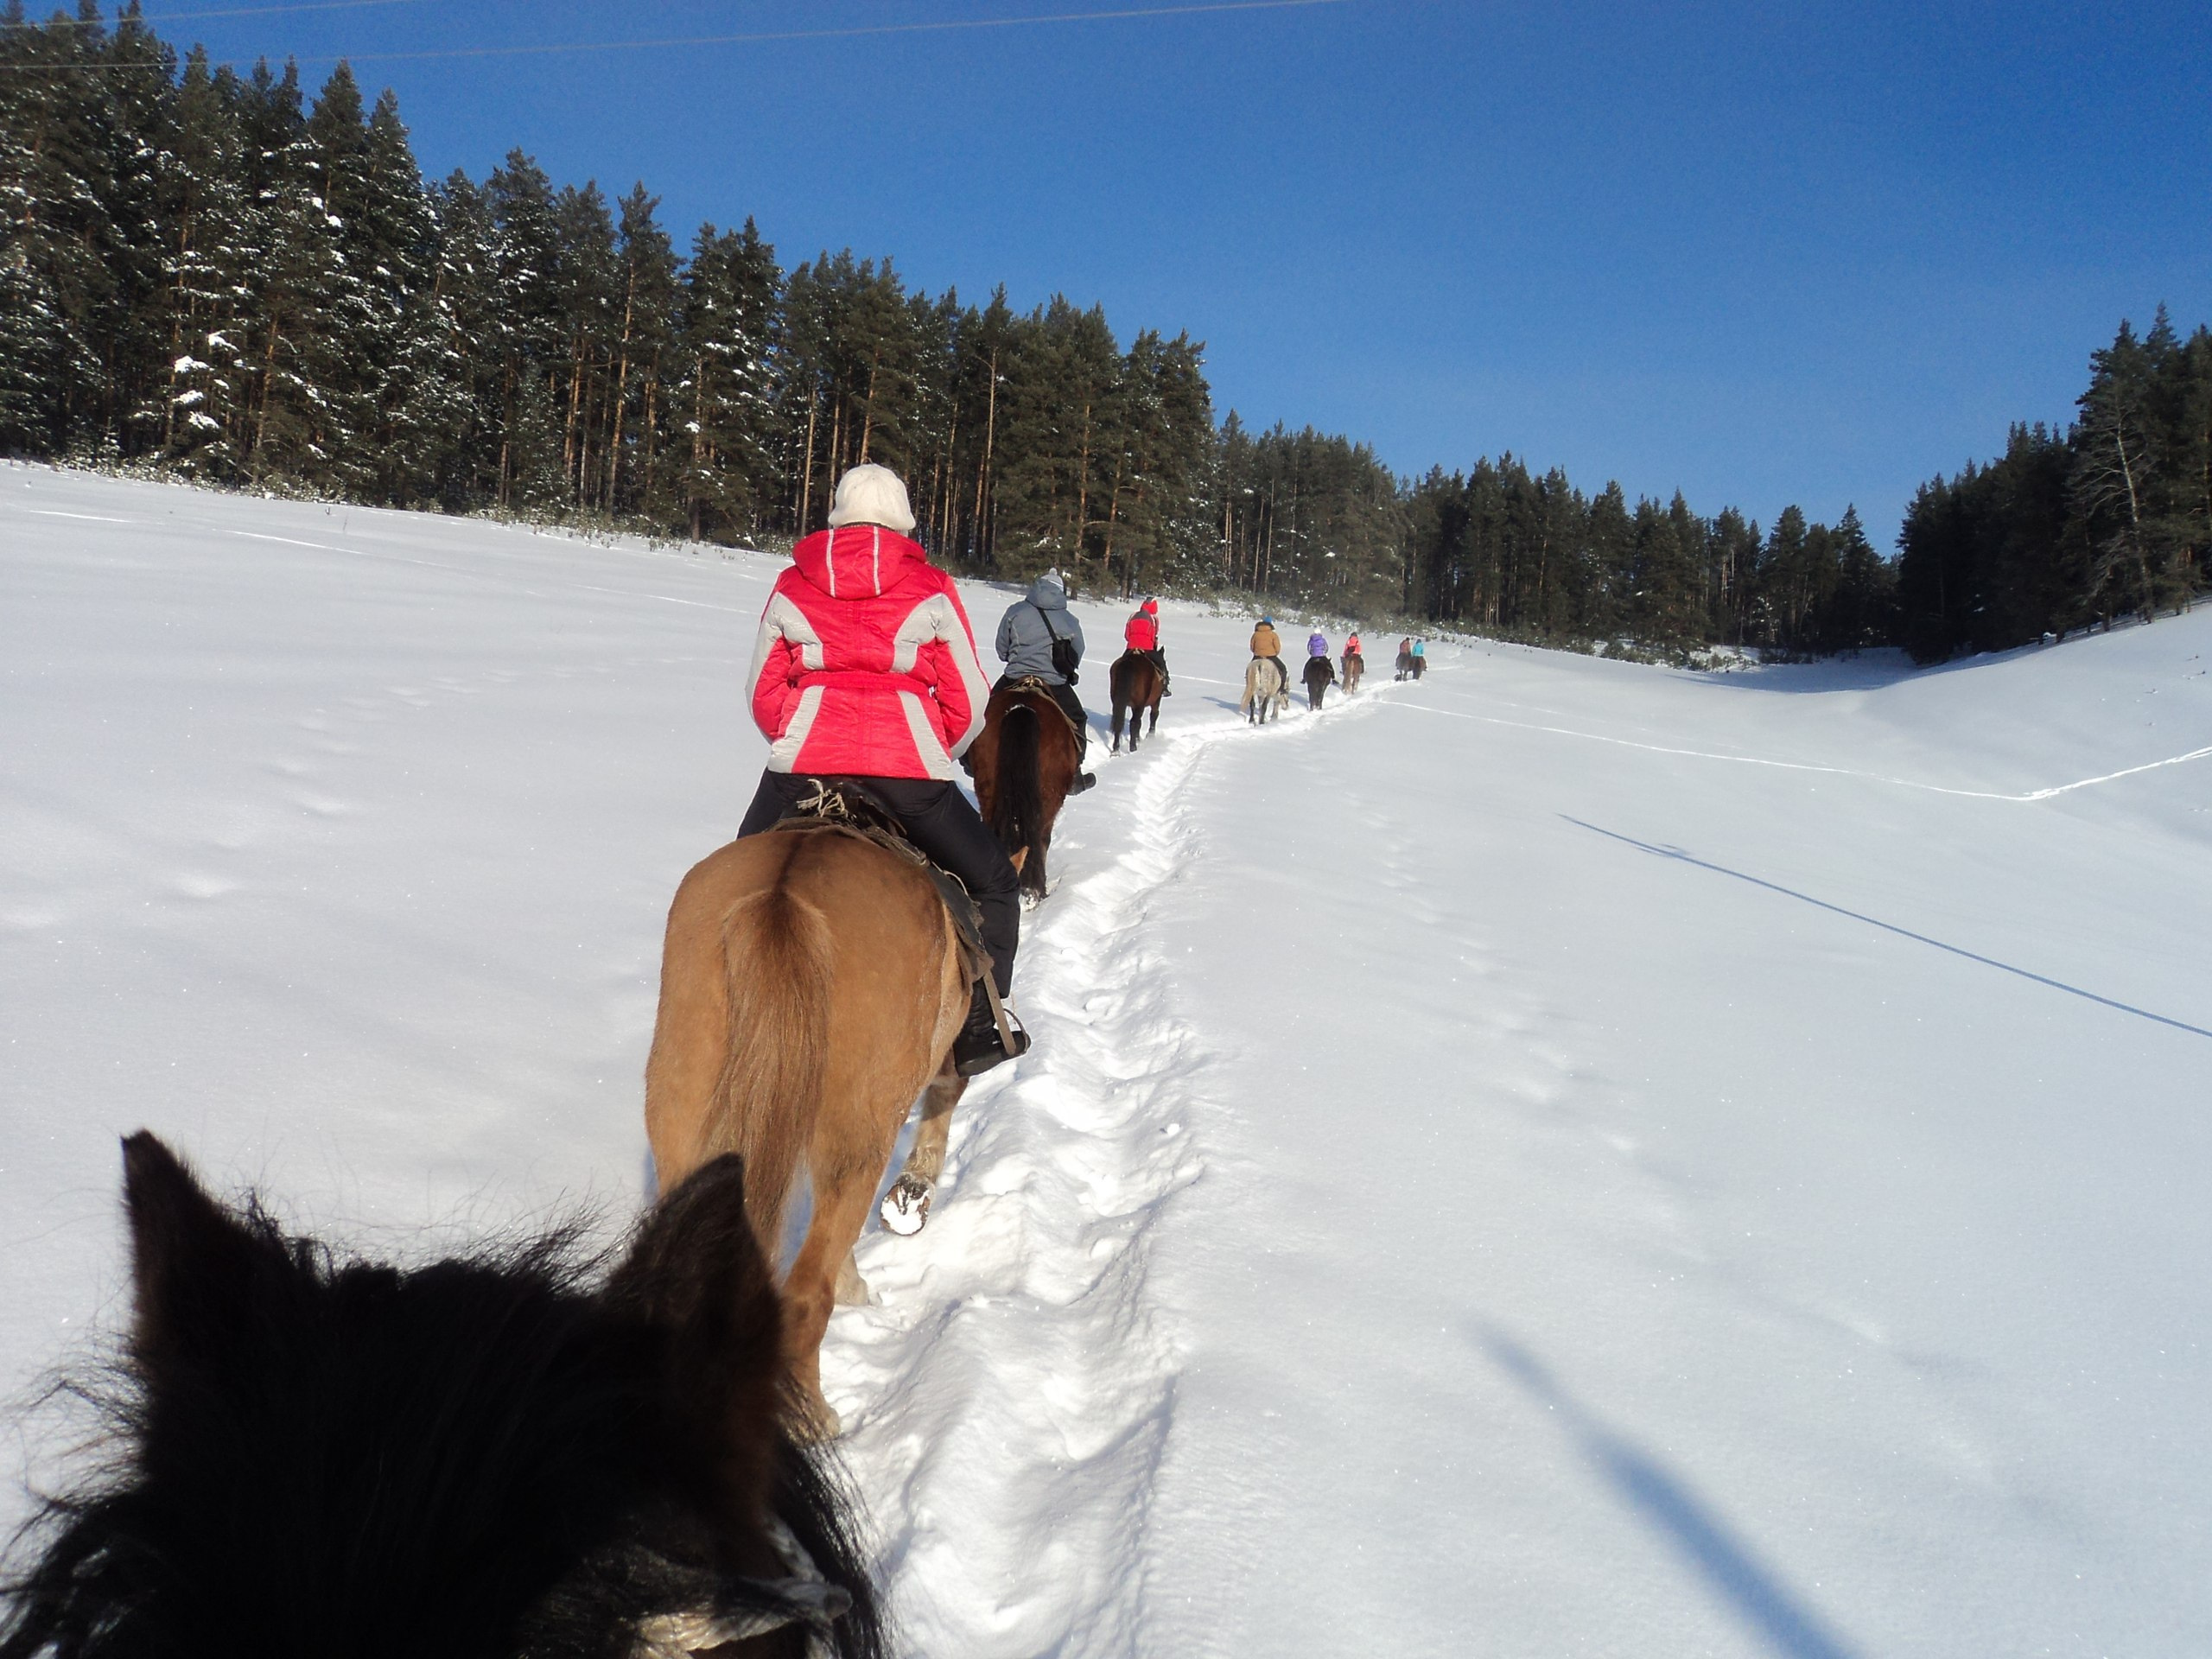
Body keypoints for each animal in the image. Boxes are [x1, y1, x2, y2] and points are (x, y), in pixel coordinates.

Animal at [645, 831, 977, 1442]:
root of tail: (782, 901)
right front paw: (910, 1198)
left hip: (683, 1114)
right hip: (858, 1135)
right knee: (807, 1291)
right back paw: (814, 1418)